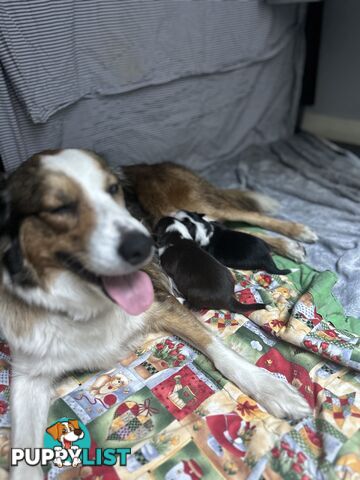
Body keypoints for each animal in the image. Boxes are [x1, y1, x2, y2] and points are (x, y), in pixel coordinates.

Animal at [0, 150, 316, 480]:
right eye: (59, 208)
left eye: (113, 190)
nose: (144, 245)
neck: (85, 305)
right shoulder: (28, 374)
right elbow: (24, 453)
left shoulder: (163, 303)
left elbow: (220, 351)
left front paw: (272, 390)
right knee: (239, 227)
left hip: (190, 203)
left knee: (246, 217)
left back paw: (295, 236)